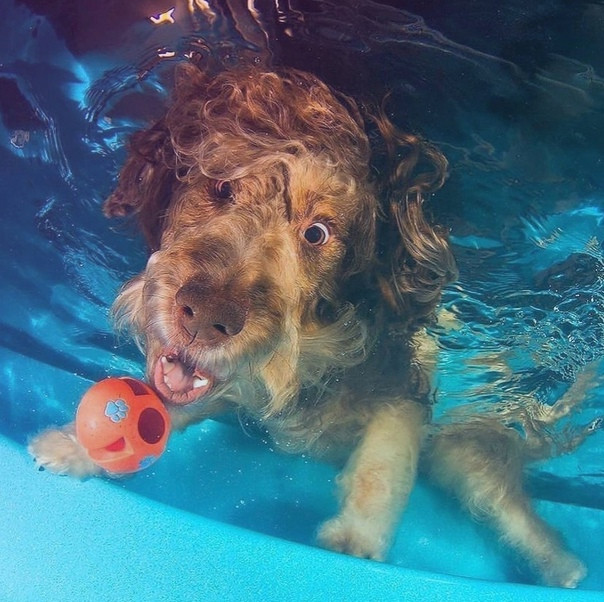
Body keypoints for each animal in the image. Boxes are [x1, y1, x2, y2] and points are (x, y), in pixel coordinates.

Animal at [29, 63, 589, 587]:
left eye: (316, 233)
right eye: (221, 187)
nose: (205, 318)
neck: (313, 348)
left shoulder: (405, 394)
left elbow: (380, 470)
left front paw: (354, 542)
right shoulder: (230, 384)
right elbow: (162, 403)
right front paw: (76, 445)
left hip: (468, 450)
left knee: (512, 511)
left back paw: (565, 570)